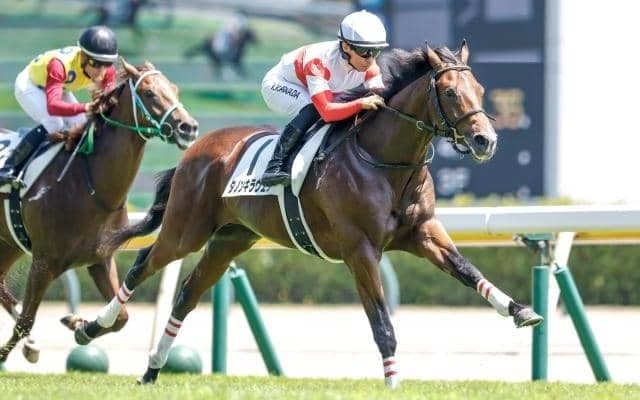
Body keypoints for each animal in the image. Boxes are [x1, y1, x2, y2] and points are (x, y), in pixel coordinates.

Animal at [0, 58, 198, 364]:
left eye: (174, 89)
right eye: (150, 93)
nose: (188, 127)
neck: (90, 186)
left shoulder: (100, 259)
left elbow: (122, 316)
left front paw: (78, 325)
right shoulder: (43, 263)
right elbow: (26, 321)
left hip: (10, 242)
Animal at [72, 41, 542, 386]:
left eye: (480, 90)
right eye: (449, 92)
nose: (485, 141)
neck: (385, 161)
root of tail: (197, 148)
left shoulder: (423, 233)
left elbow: (467, 269)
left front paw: (520, 310)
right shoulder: (360, 250)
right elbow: (382, 324)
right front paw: (393, 382)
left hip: (230, 238)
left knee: (187, 294)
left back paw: (152, 370)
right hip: (187, 229)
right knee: (141, 266)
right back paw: (92, 327)